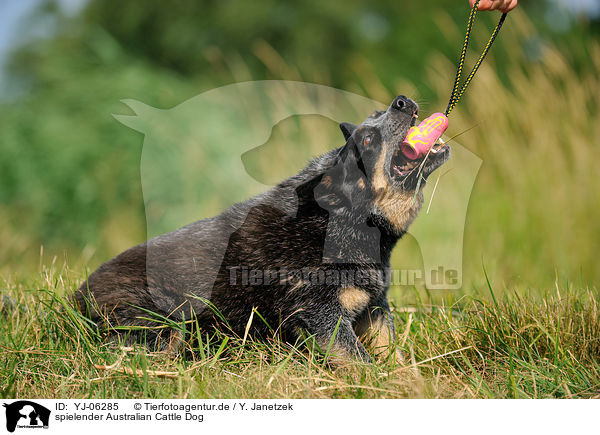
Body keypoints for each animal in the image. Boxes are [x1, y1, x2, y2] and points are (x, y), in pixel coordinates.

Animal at [75, 96, 448, 364]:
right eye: (368, 139)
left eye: (376, 113)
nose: (402, 100)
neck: (340, 222)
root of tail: (74, 300)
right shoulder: (321, 315)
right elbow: (362, 363)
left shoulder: (375, 309)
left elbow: (394, 354)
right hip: (165, 319)